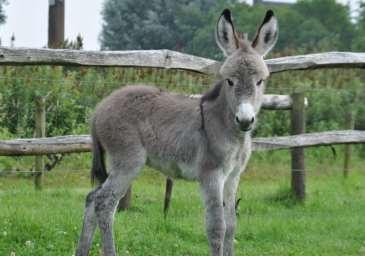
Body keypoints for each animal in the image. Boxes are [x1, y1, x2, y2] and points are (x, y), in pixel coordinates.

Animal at [76, 8, 276, 256]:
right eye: (229, 81)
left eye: (260, 81)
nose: (246, 120)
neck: (228, 128)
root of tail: (100, 108)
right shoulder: (211, 175)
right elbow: (216, 228)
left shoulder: (232, 177)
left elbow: (231, 226)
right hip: (128, 162)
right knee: (105, 203)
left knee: (91, 198)